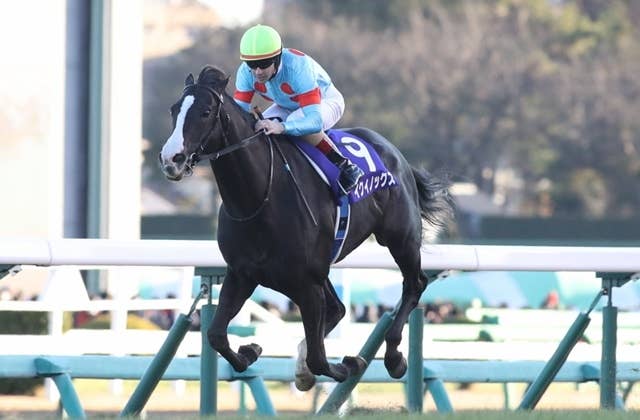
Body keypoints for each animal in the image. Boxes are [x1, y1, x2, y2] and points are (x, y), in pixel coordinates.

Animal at [159, 65, 453, 390]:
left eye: (206, 111)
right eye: (174, 109)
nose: (171, 159)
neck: (260, 198)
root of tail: (395, 154)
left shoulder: (307, 282)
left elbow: (319, 359)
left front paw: (349, 364)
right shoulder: (242, 274)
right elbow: (216, 336)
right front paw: (250, 351)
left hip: (400, 238)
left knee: (414, 284)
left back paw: (394, 357)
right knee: (338, 308)